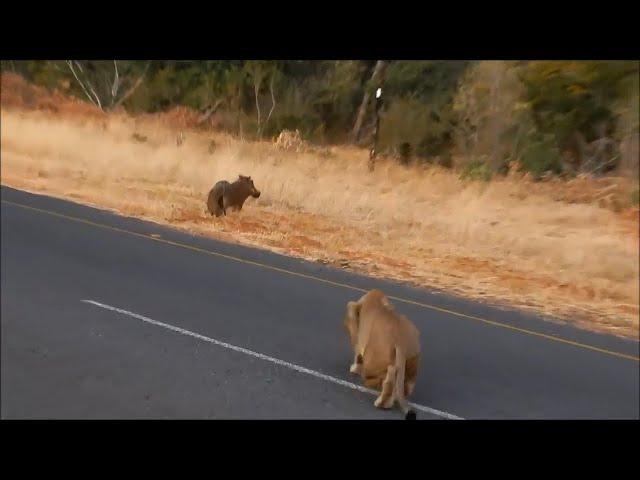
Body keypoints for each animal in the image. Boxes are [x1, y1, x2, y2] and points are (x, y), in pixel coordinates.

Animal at [344, 288, 420, 420]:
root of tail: (401, 339)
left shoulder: (360, 342)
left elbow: (358, 357)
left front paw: (354, 368)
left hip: (372, 360)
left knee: (386, 375)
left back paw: (380, 402)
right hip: (412, 359)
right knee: (405, 386)